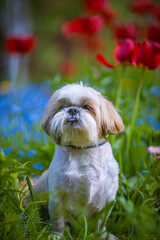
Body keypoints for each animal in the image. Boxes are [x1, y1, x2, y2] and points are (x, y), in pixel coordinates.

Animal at [29, 82, 125, 238]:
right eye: (62, 107)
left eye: (87, 107)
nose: (72, 110)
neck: (82, 149)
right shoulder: (57, 196)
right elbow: (58, 220)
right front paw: (56, 235)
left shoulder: (107, 198)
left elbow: (100, 222)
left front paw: (102, 235)